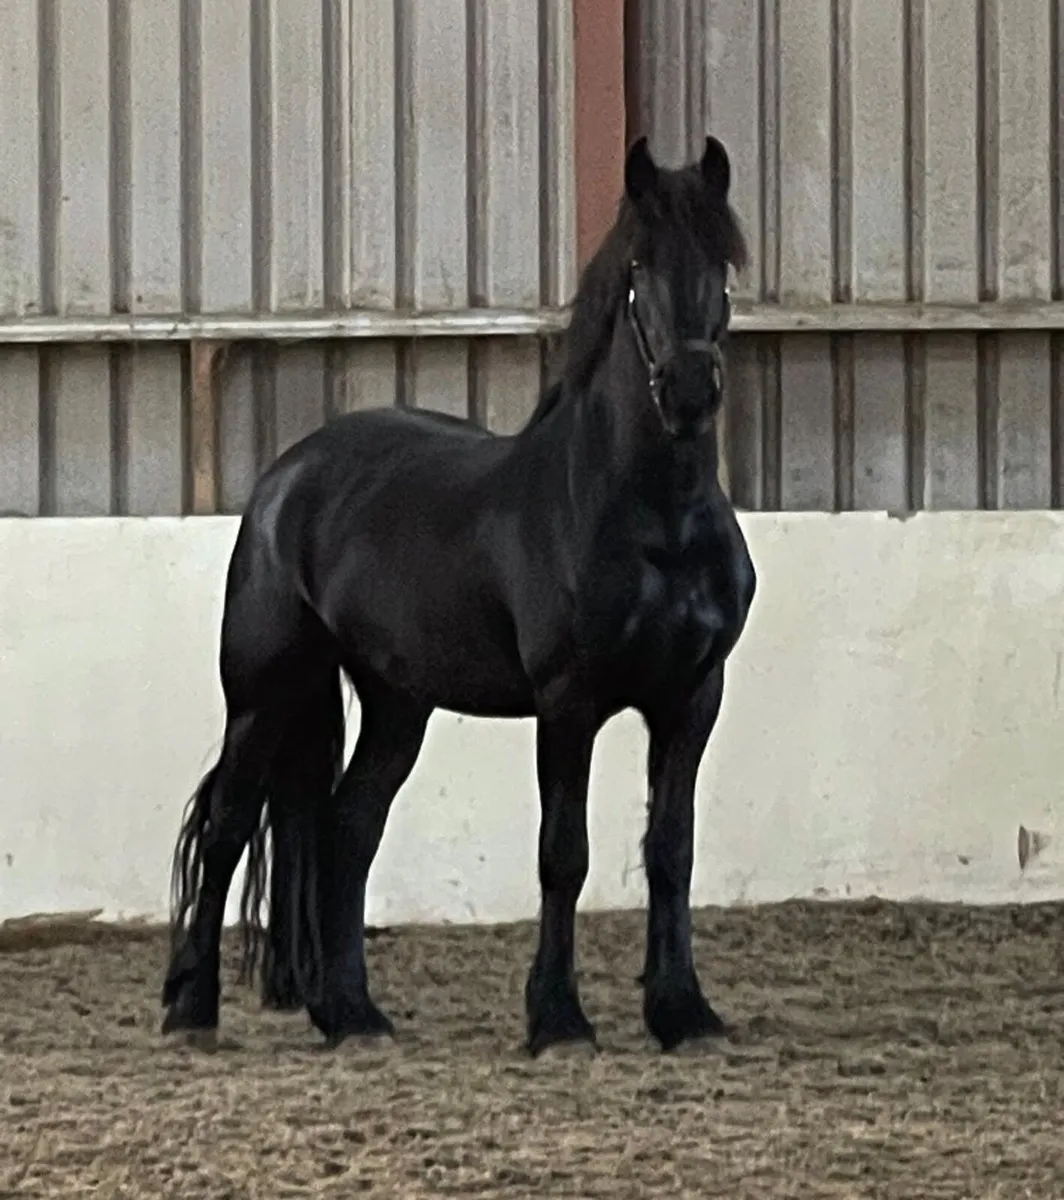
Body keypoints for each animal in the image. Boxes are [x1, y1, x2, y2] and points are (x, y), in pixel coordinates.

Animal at [161, 134, 755, 1056]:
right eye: (638, 265)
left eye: (722, 264)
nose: (690, 392)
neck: (656, 520)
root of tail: (285, 481)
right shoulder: (568, 702)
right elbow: (564, 854)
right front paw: (559, 1020)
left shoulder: (692, 696)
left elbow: (671, 849)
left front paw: (684, 1013)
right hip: (265, 693)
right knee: (225, 822)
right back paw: (193, 1011)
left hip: (396, 704)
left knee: (346, 830)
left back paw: (353, 1014)